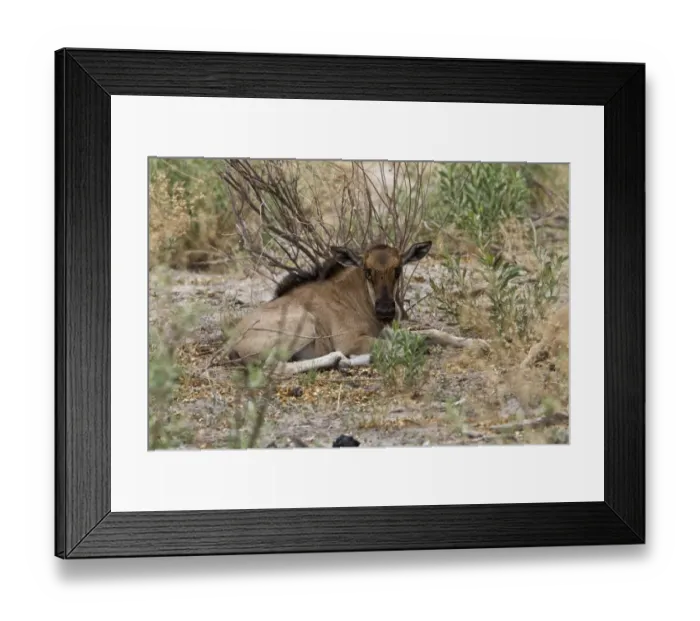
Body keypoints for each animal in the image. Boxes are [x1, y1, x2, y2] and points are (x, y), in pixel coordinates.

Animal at [224, 241, 488, 376]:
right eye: (367, 271)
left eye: (398, 270)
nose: (386, 311)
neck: (357, 297)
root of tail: (233, 342)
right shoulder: (352, 340)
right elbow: (404, 347)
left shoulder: (387, 331)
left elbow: (433, 333)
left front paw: (478, 343)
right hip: (303, 325)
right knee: (275, 368)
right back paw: (337, 360)